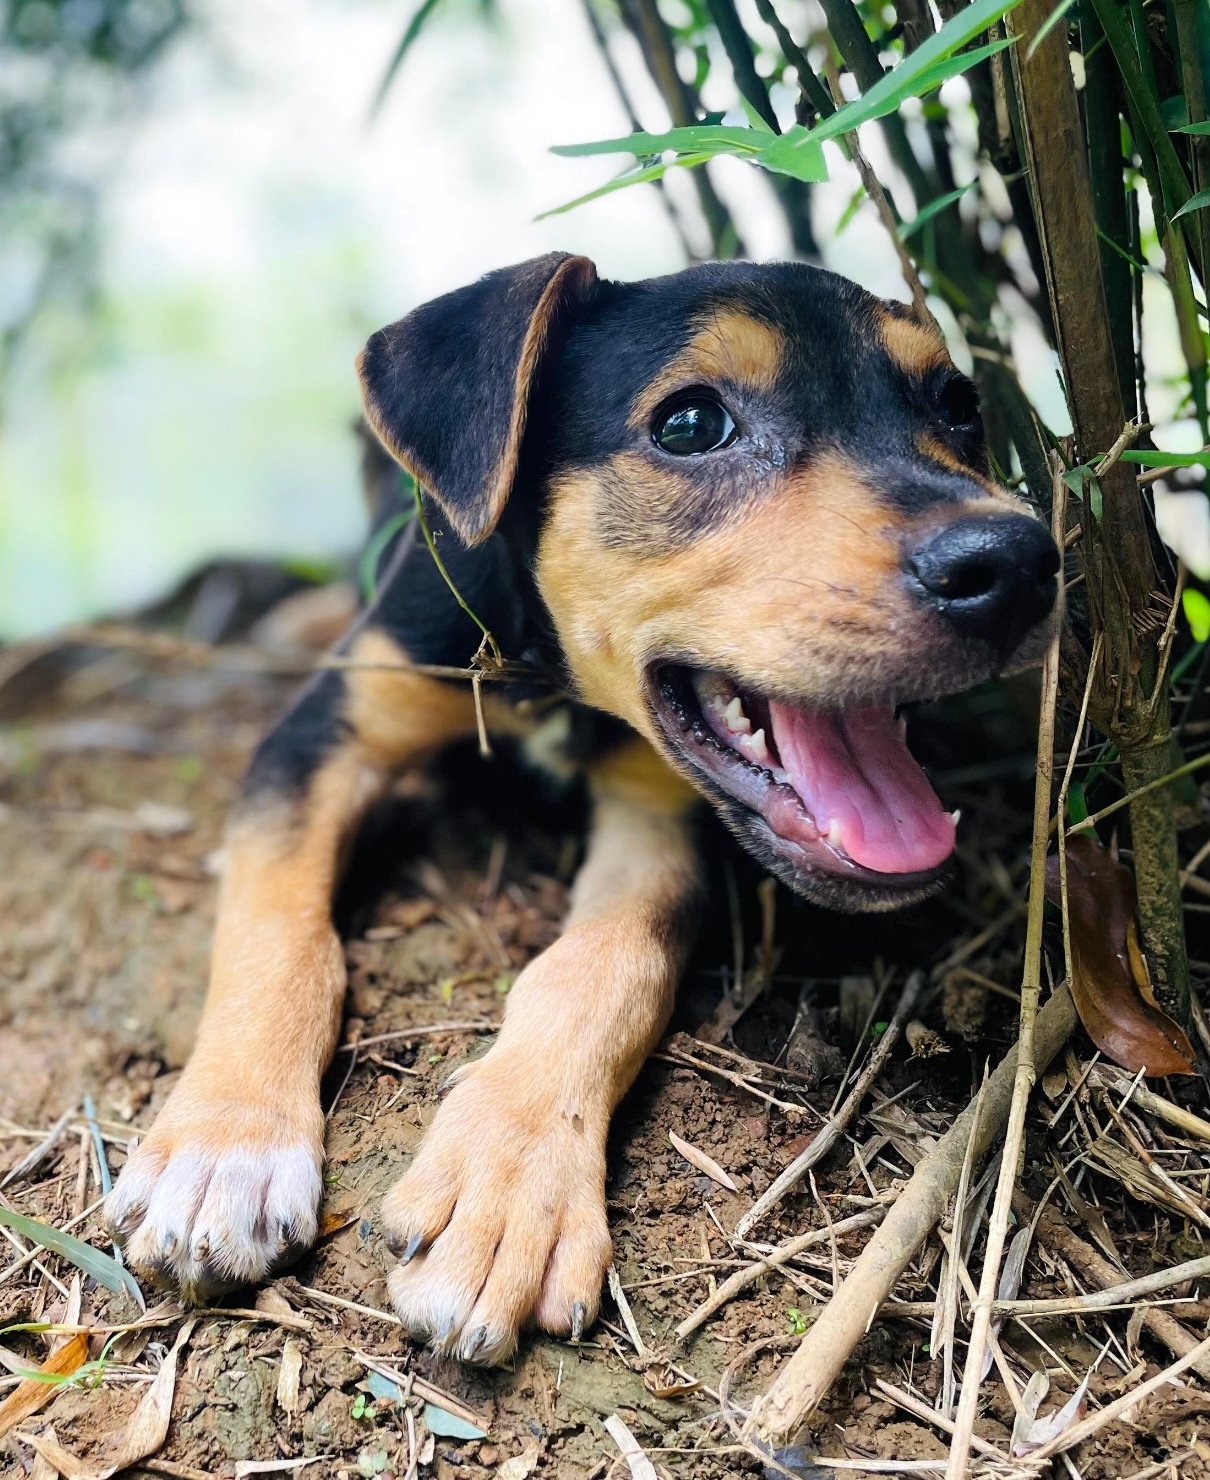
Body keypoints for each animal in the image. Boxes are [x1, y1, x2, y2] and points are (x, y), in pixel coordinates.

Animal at [108, 251, 1059, 1361]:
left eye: (957, 407)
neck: (541, 670)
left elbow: (602, 966)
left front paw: (505, 1184)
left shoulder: (659, 811)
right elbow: (275, 934)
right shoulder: (313, 743)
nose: (1016, 564)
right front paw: (225, 1152)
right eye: (689, 425)